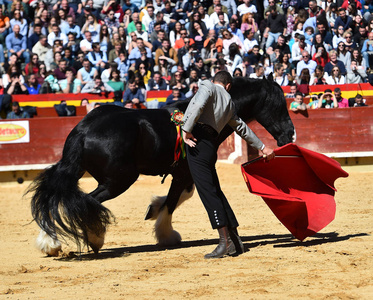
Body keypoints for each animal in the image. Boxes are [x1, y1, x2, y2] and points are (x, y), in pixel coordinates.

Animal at [28, 75, 294, 255]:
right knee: (87, 201)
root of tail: (83, 129)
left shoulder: (185, 173)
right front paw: (166, 234)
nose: (289, 136)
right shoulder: (186, 172)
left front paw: (153, 210)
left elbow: (180, 196)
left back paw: (49, 243)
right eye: (277, 105)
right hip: (118, 181)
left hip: (82, 172)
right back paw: (94, 237)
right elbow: (174, 200)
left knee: (58, 196)